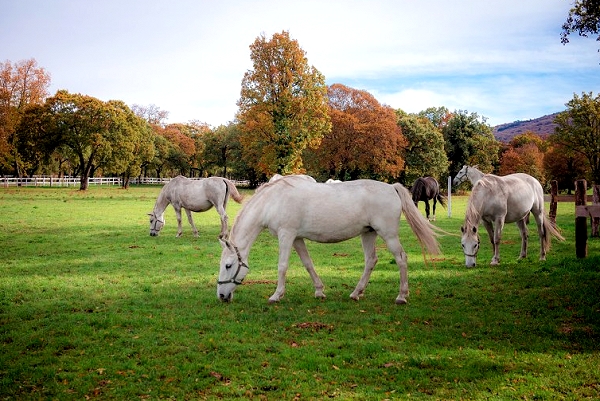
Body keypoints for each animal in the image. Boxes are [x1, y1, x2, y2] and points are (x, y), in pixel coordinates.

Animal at [217, 175, 440, 304]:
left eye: (228, 265)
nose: (221, 296)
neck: (273, 200)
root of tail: (392, 187)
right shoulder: (297, 238)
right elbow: (307, 263)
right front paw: (319, 291)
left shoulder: (286, 235)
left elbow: (282, 266)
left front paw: (276, 295)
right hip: (368, 233)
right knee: (371, 260)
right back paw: (356, 293)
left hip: (388, 234)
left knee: (401, 258)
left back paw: (401, 296)